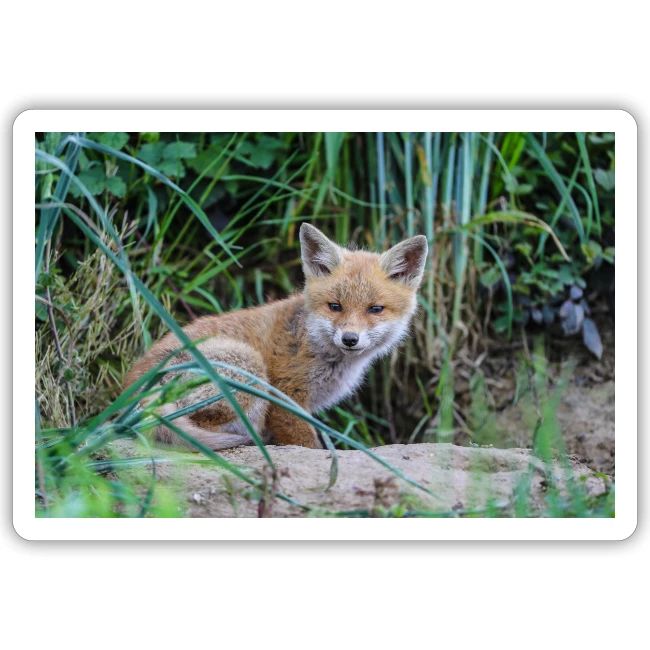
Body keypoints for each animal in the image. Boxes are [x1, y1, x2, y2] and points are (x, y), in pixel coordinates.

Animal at [124, 223, 428, 450]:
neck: (313, 343)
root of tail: (132, 393)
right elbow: (307, 443)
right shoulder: (285, 396)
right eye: (335, 306)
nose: (350, 339)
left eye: (375, 309)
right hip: (248, 367)